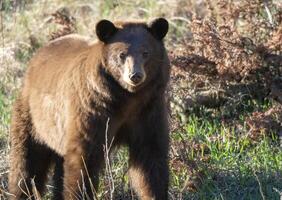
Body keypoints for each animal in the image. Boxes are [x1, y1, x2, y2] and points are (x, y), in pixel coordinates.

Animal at [8, 17, 171, 200]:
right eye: (121, 54)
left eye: (146, 53)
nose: (135, 76)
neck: (127, 99)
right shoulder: (93, 110)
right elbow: (84, 160)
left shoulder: (148, 111)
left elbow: (150, 158)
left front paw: (155, 192)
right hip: (33, 117)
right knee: (27, 162)